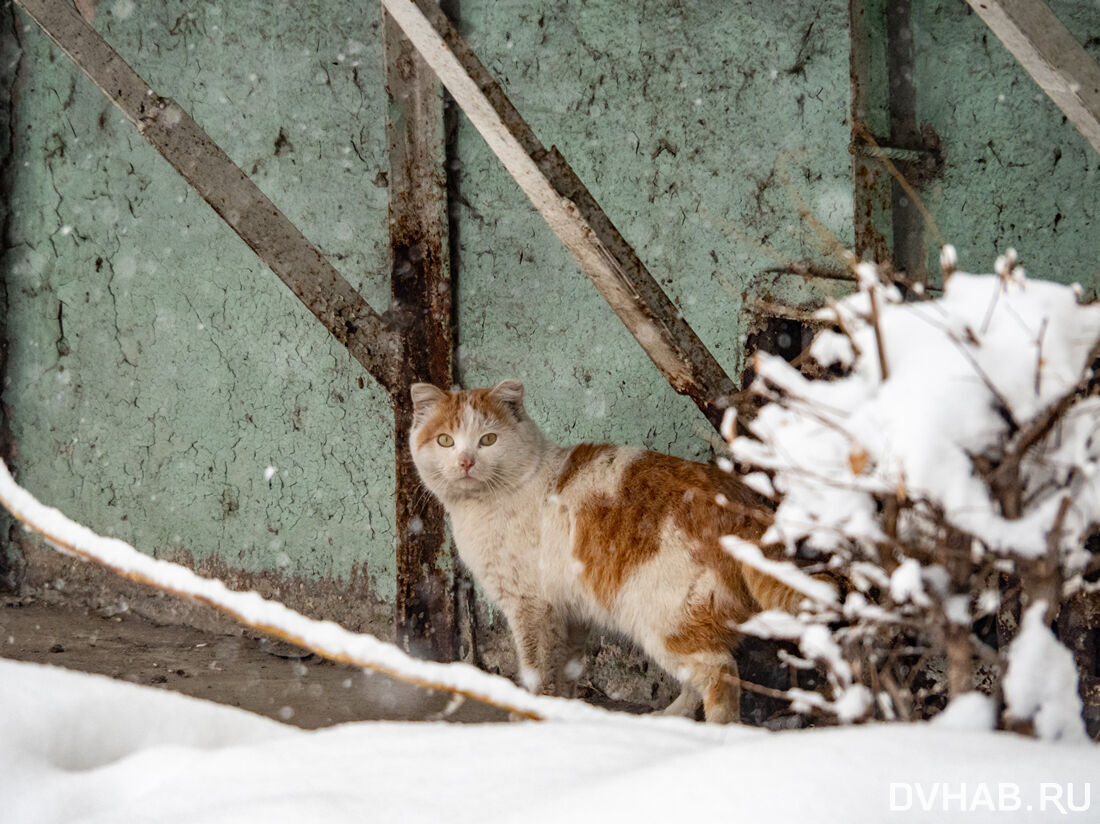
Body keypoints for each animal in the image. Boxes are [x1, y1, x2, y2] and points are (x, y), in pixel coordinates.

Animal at [409, 378, 805, 721]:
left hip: (665, 620)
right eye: (445, 441)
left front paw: (529, 715)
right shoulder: (570, 611)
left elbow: (536, 670)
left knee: (721, 674)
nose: (466, 462)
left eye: (488, 440)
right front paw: (563, 711)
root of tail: (744, 505)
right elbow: (566, 670)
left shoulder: (529, 606)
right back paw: (668, 719)